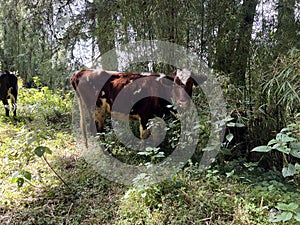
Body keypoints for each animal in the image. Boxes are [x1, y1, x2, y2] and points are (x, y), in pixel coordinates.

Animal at [70, 68, 206, 145]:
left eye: (191, 84)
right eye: (175, 83)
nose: (183, 102)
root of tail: (81, 71)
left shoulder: (157, 118)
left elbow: (157, 137)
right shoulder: (145, 116)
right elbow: (144, 138)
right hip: (96, 109)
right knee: (96, 131)